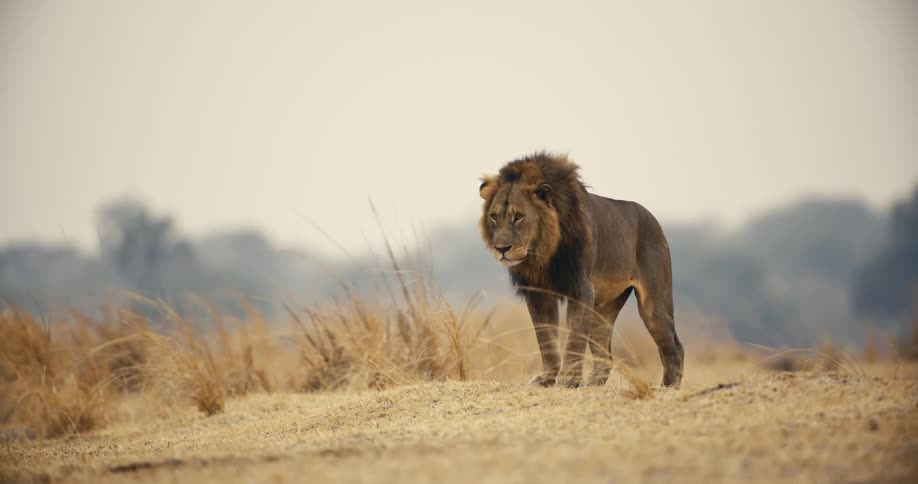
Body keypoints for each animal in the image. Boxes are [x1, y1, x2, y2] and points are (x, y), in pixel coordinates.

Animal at [479, 152, 684, 388]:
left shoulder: (580, 288)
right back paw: (593, 383)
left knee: (674, 346)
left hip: (653, 303)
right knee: (605, 357)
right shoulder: (538, 294)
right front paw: (549, 378)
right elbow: (546, 340)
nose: (501, 249)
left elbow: (574, 339)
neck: (543, 253)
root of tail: (655, 220)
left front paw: (568, 379)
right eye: (494, 216)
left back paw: (668, 387)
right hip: (602, 309)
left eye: (518, 216)